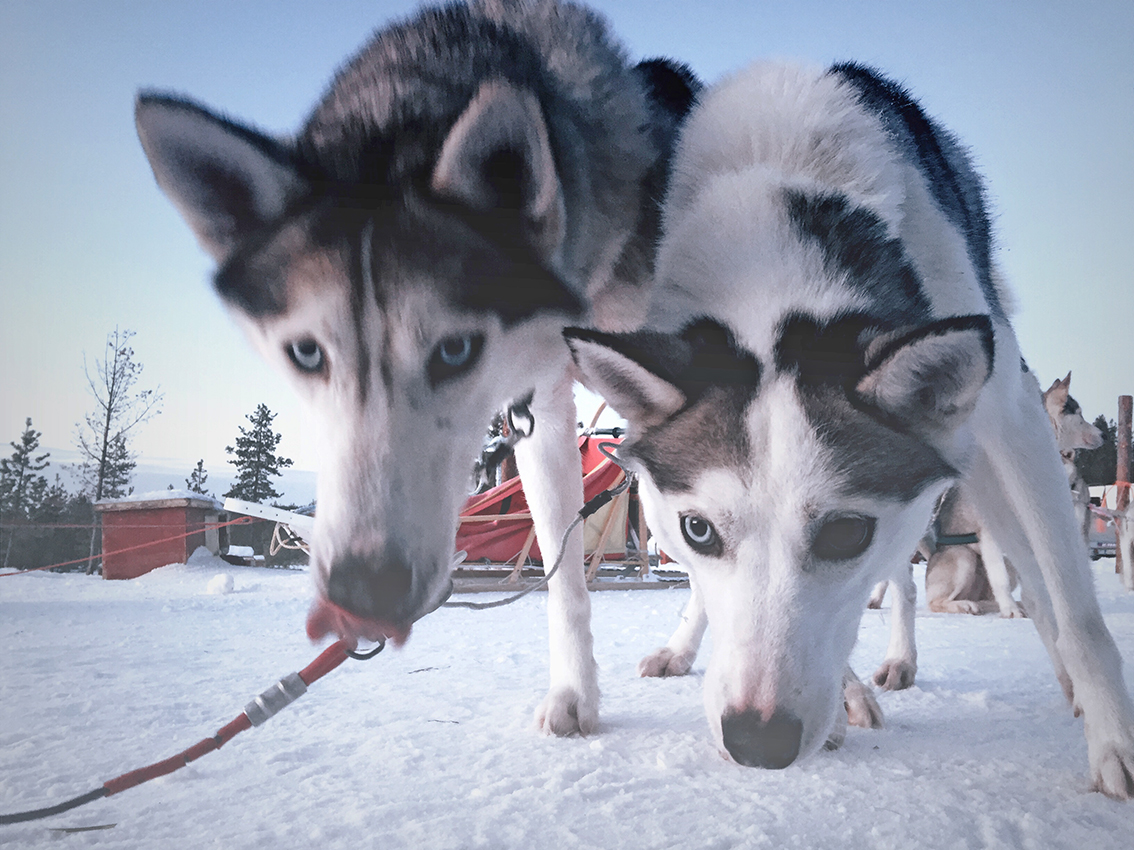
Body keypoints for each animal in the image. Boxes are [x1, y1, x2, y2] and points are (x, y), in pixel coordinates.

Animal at [136, 0, 694, 734]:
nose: (364, 592)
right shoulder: (541, 414)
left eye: (456, 348)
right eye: (306, 352)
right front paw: (575, 693)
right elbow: (563, 576)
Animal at [571, 61, 1134, 797]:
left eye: (846, 532)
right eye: (699, 530)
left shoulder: (1011, 415)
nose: (756, 743)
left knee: (1028, 582)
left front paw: (1115, 741)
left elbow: (1076, 610)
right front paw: (836, 701)